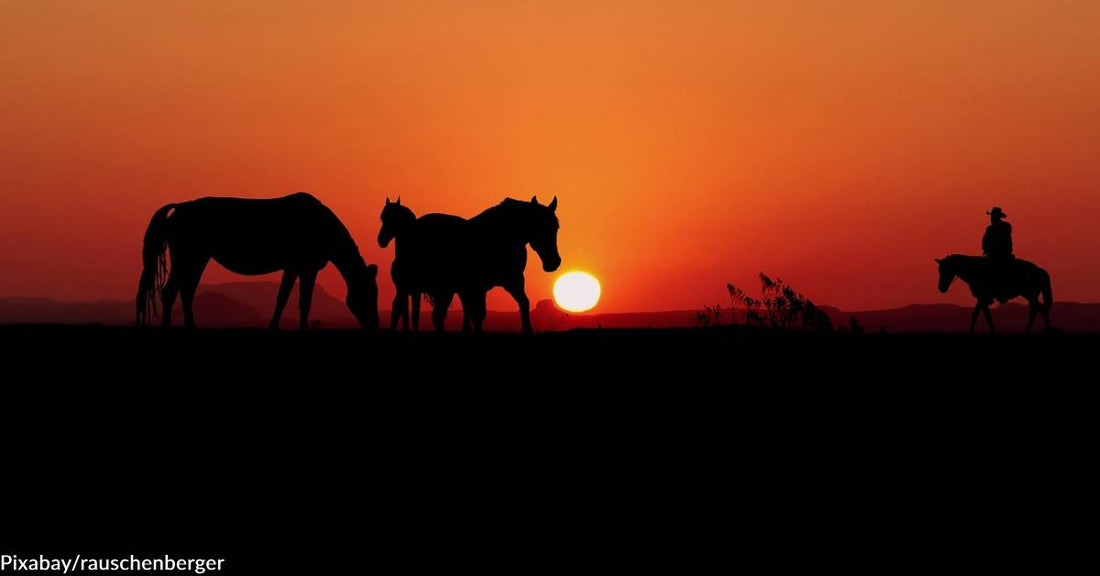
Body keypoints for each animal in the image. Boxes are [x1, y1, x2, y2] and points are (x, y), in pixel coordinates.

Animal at [136, 192, 379, 330]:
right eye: (367, 294)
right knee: (170, 292)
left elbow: (283, 299)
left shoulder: (293, 268)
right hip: (187, 259)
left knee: (185, 293)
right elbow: (303, 302)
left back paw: (191, 327)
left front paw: (273, 327)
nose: (374, 326)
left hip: (197, 259)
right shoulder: (306, 269)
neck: (322, 227)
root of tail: (179, 207)